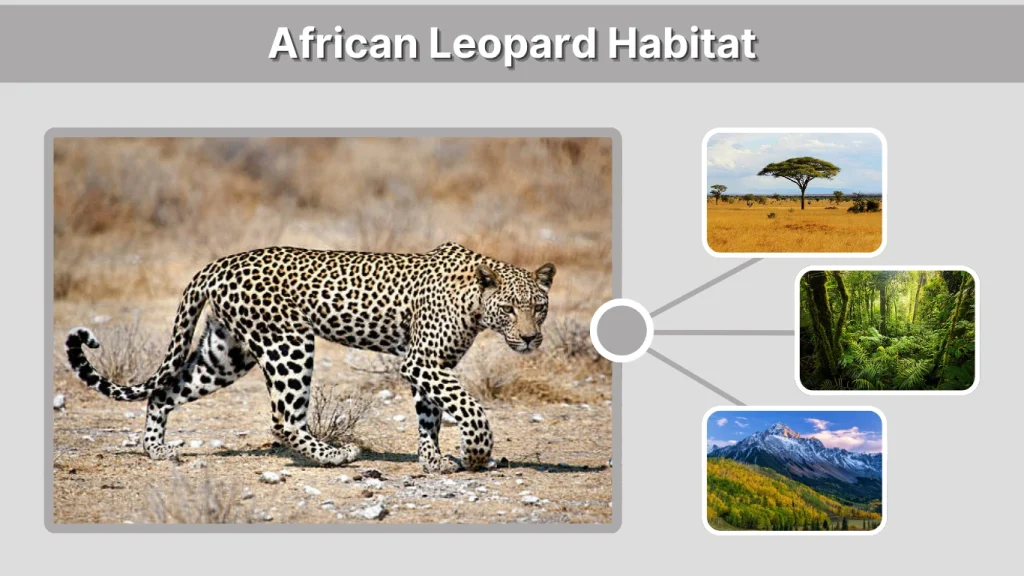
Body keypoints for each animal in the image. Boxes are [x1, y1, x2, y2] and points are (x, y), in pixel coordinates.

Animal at [65, 242, 555, 473]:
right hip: (288, 344)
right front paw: (475, 454)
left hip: (225, 353)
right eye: (510, 308)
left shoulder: (431, 365)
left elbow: (430, 415)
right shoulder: (420, 362)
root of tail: (217, 264)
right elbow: (469, 408)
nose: (531, 338)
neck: (475, 302)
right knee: (284, 419)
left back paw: (157, 449)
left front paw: (433, 460)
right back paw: (338, 455)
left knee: (163, 392)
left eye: (539, 306)